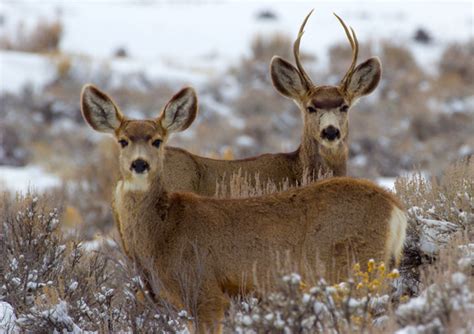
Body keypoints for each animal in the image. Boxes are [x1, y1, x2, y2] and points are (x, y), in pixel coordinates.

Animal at [81, 84, 408, 334]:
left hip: (354, 268)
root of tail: (397, 209)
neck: (164, 231)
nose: (139, 164)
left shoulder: (207, 292)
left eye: (157, 141)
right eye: (123, 141)